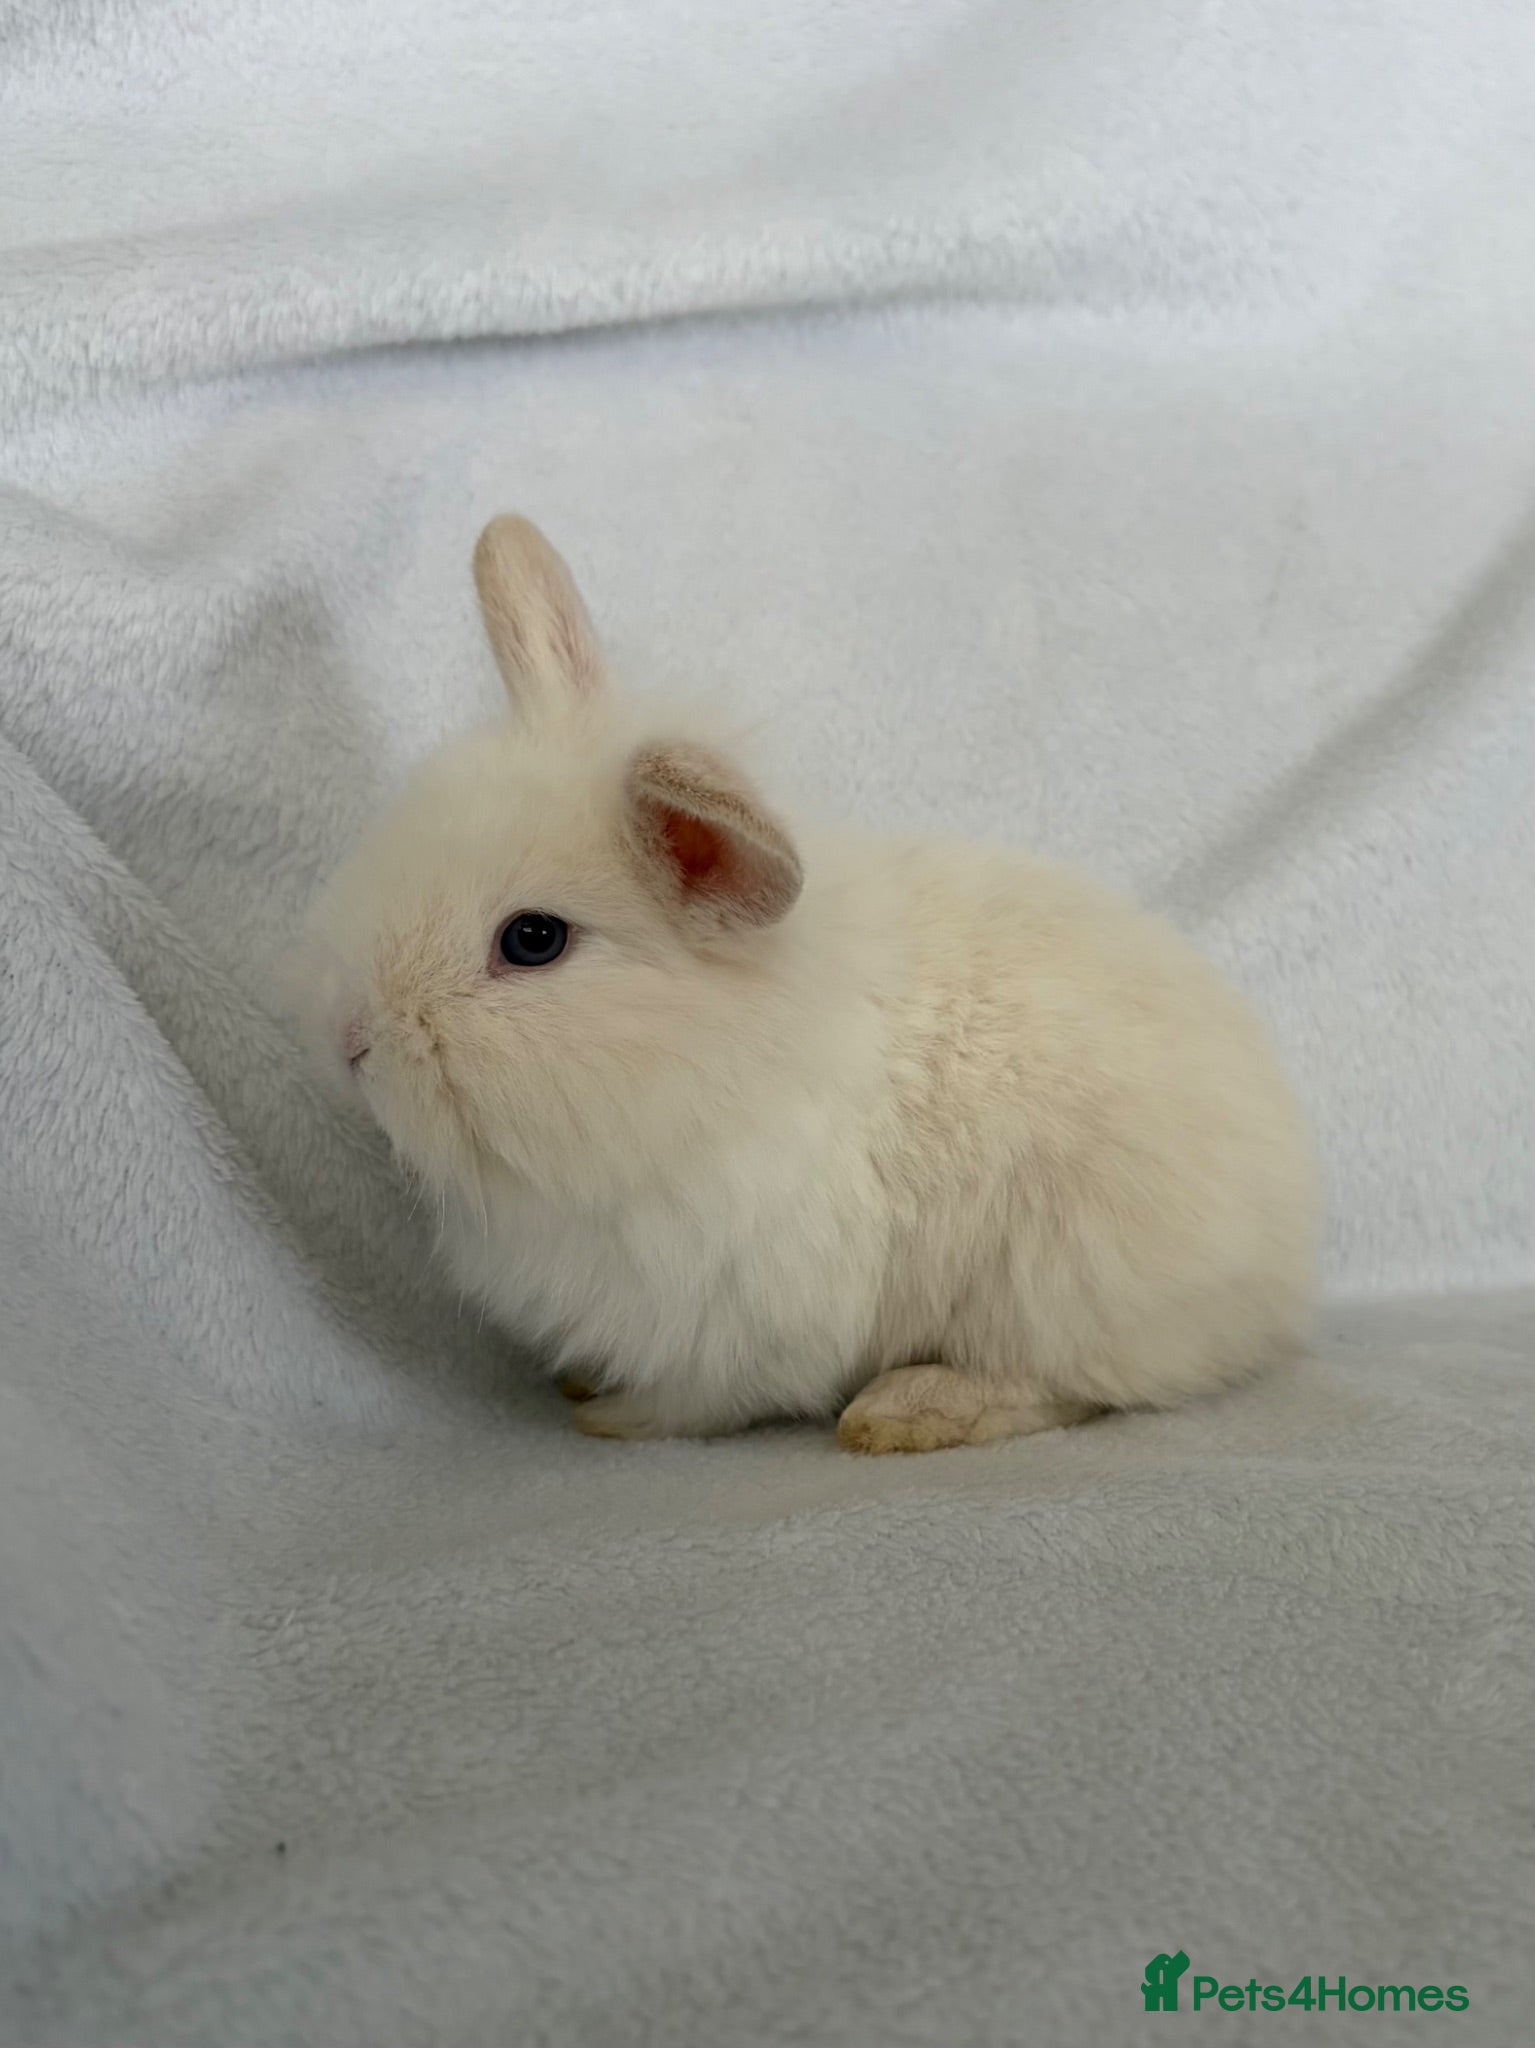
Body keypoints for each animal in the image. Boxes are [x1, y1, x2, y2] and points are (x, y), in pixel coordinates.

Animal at [293, 514, 1319, 1453]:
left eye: (533, 940)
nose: (347, 1041)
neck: (716, 1070)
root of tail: (1279, 1267)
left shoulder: (732, 1316)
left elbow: (693, 1403)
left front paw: (611, 1416)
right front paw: (582, 1382)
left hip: (1060, 1283)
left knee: (1068, 1386)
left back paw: (906, 1411)